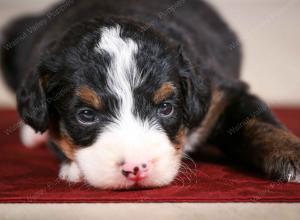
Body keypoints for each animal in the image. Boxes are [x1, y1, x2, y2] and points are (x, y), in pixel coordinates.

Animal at [0, 0, 300, 189]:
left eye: (166, 108)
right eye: (86, 115)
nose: (136, 168)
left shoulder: (219, 96)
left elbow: (259, 124)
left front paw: (292, 155)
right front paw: (72, 168)